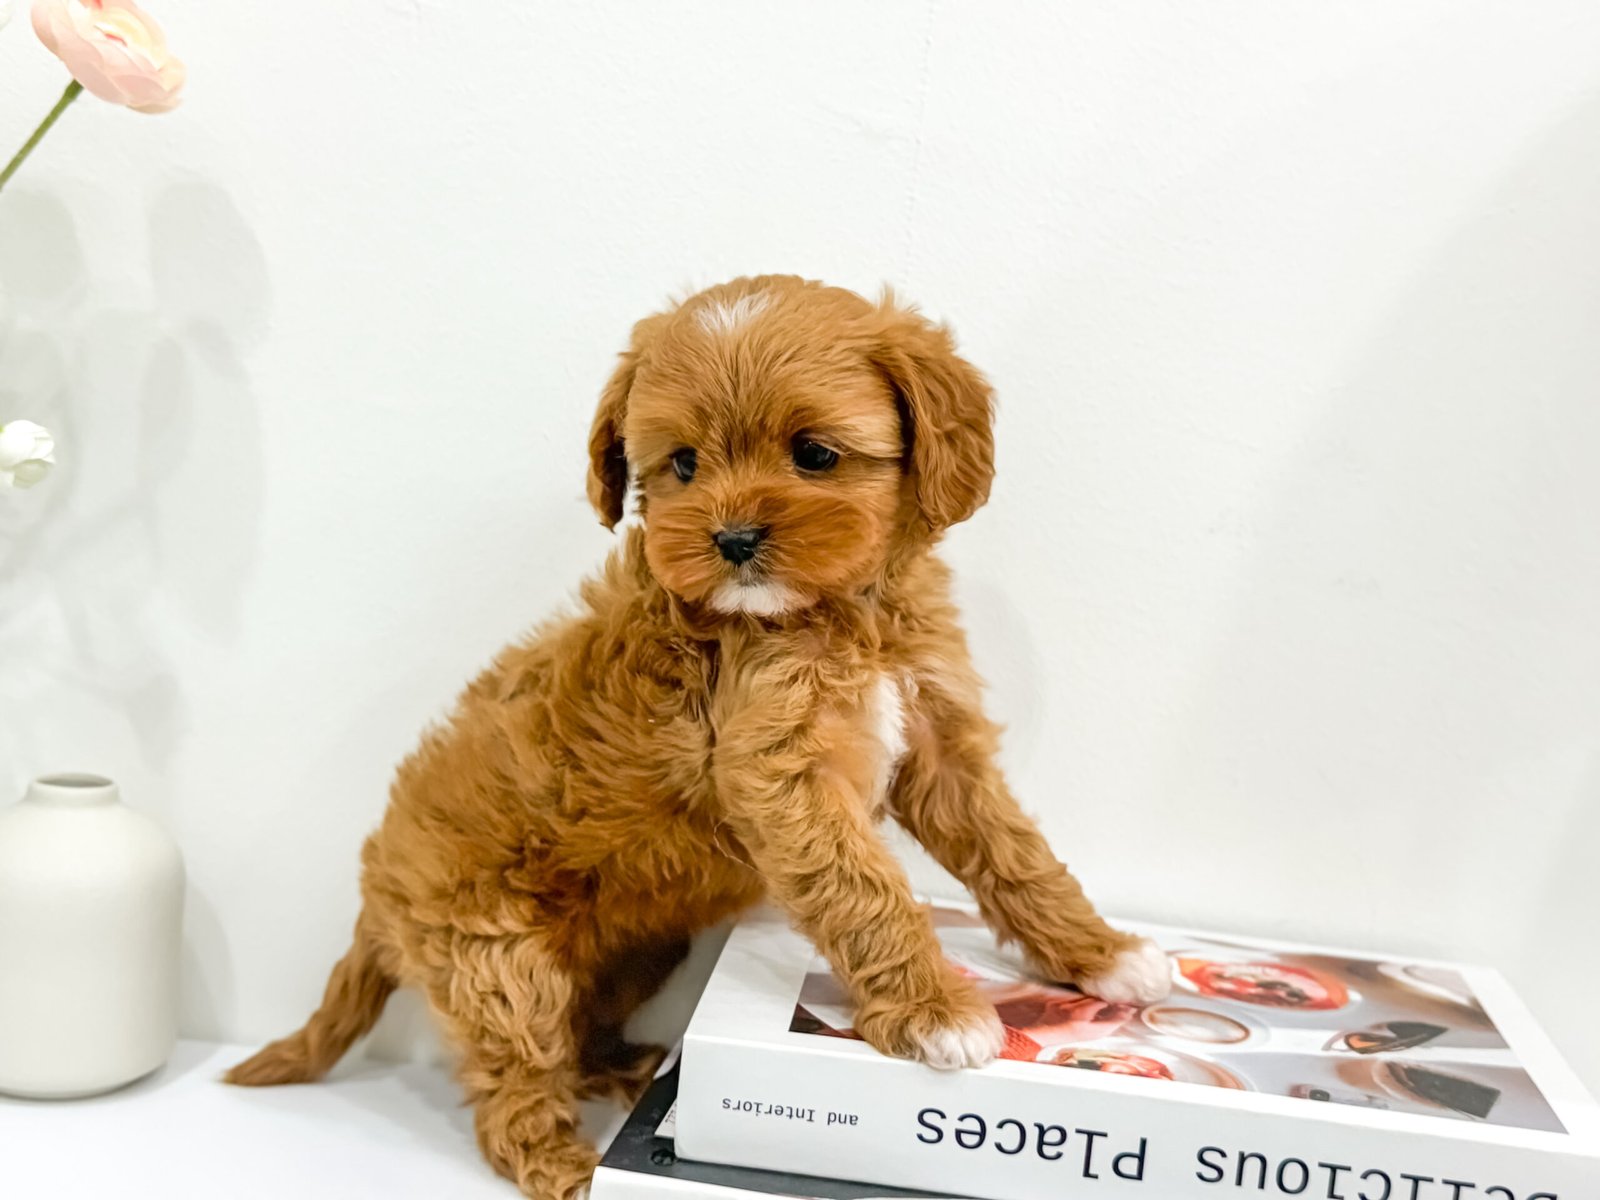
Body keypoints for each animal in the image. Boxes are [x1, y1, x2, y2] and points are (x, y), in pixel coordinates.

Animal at [226, 275, 1171, 1198]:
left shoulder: (939, 741)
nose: (733, 538)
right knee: (512, 1082)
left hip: (638, 952)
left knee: (580, 1029)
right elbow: (865, 891)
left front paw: (1103, 954)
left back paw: (617, 1071)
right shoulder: (778, 775)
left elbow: (1016, 855)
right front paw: (933, 1013)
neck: (838, 614)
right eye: (682, 464)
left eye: (814, 454)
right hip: (496, 963)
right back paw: (567, 1165)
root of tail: (375, 895)